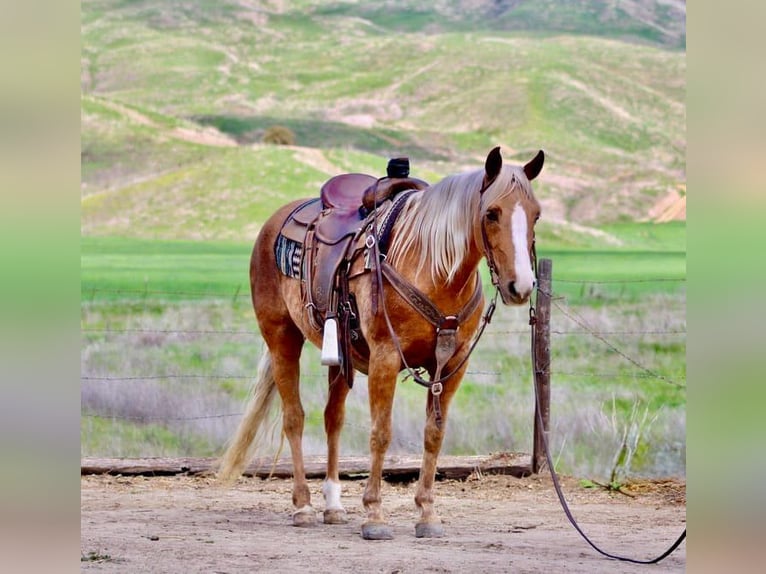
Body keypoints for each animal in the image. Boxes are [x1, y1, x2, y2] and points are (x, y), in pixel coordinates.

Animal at [218, 146, 544, 540]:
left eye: (536, 214)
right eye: (492, 213)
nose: (521, 286)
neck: (432, 268)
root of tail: (275, 222)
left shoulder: (452, 366)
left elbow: (434, 435)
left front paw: (427, 514)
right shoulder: (385, 359)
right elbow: (381, 433)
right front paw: (374, 515)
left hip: (339, 358)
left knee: (333, 419)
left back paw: (333, 505)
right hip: (282, 337)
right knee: (294, 418)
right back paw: (304, 506)